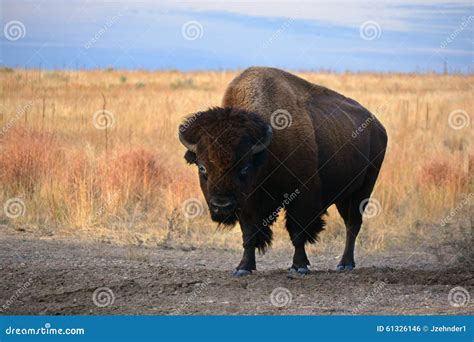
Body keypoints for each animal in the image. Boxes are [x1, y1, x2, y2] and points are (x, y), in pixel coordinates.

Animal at [180, 66, 386, 276]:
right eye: (202, 167)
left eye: (244, 168)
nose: (222, 206)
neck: (266, 151)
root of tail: (379, 127)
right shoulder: (247, 203)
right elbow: (249, 233)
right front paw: (243, 267)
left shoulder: (301, 195)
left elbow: (297, 232)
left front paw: (299, 266)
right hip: (344, 196)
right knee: (349, 223)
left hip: (363, 190)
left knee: (353, 225)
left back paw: (345, 264)